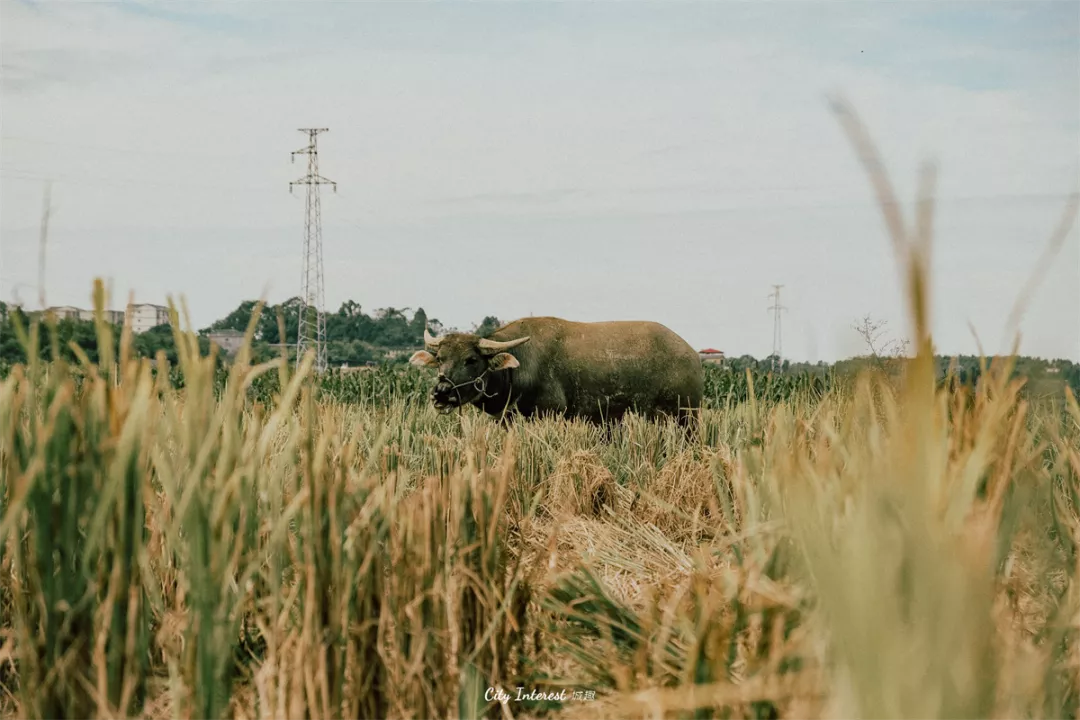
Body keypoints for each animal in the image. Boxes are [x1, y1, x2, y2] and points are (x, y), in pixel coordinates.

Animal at [408, 315, 704, 427]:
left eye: (471, 359)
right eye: (440, 358)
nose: (441, 393)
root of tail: (690, 354)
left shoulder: (549, 414)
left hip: (684, 417)